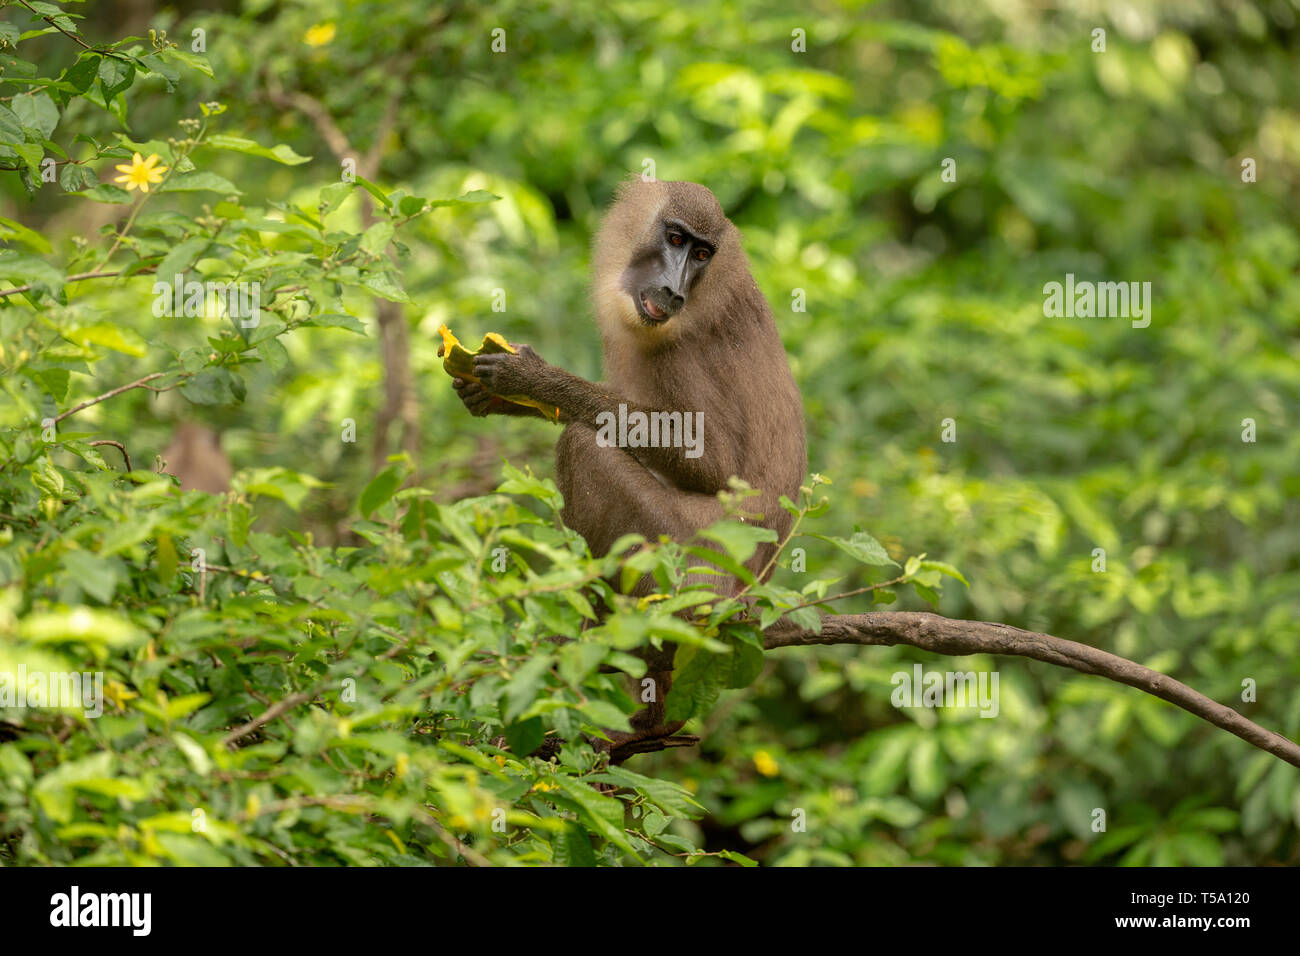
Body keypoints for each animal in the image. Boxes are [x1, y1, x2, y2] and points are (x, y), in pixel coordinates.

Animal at [452, 180, 806, 764]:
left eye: (702, 255)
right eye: (677, 239)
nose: (675, 290)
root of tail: (745, 602)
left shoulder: (678, 354)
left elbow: (717, 467)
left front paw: (534, 379)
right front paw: (499, 397)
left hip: (683, 570)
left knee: (584, 448)